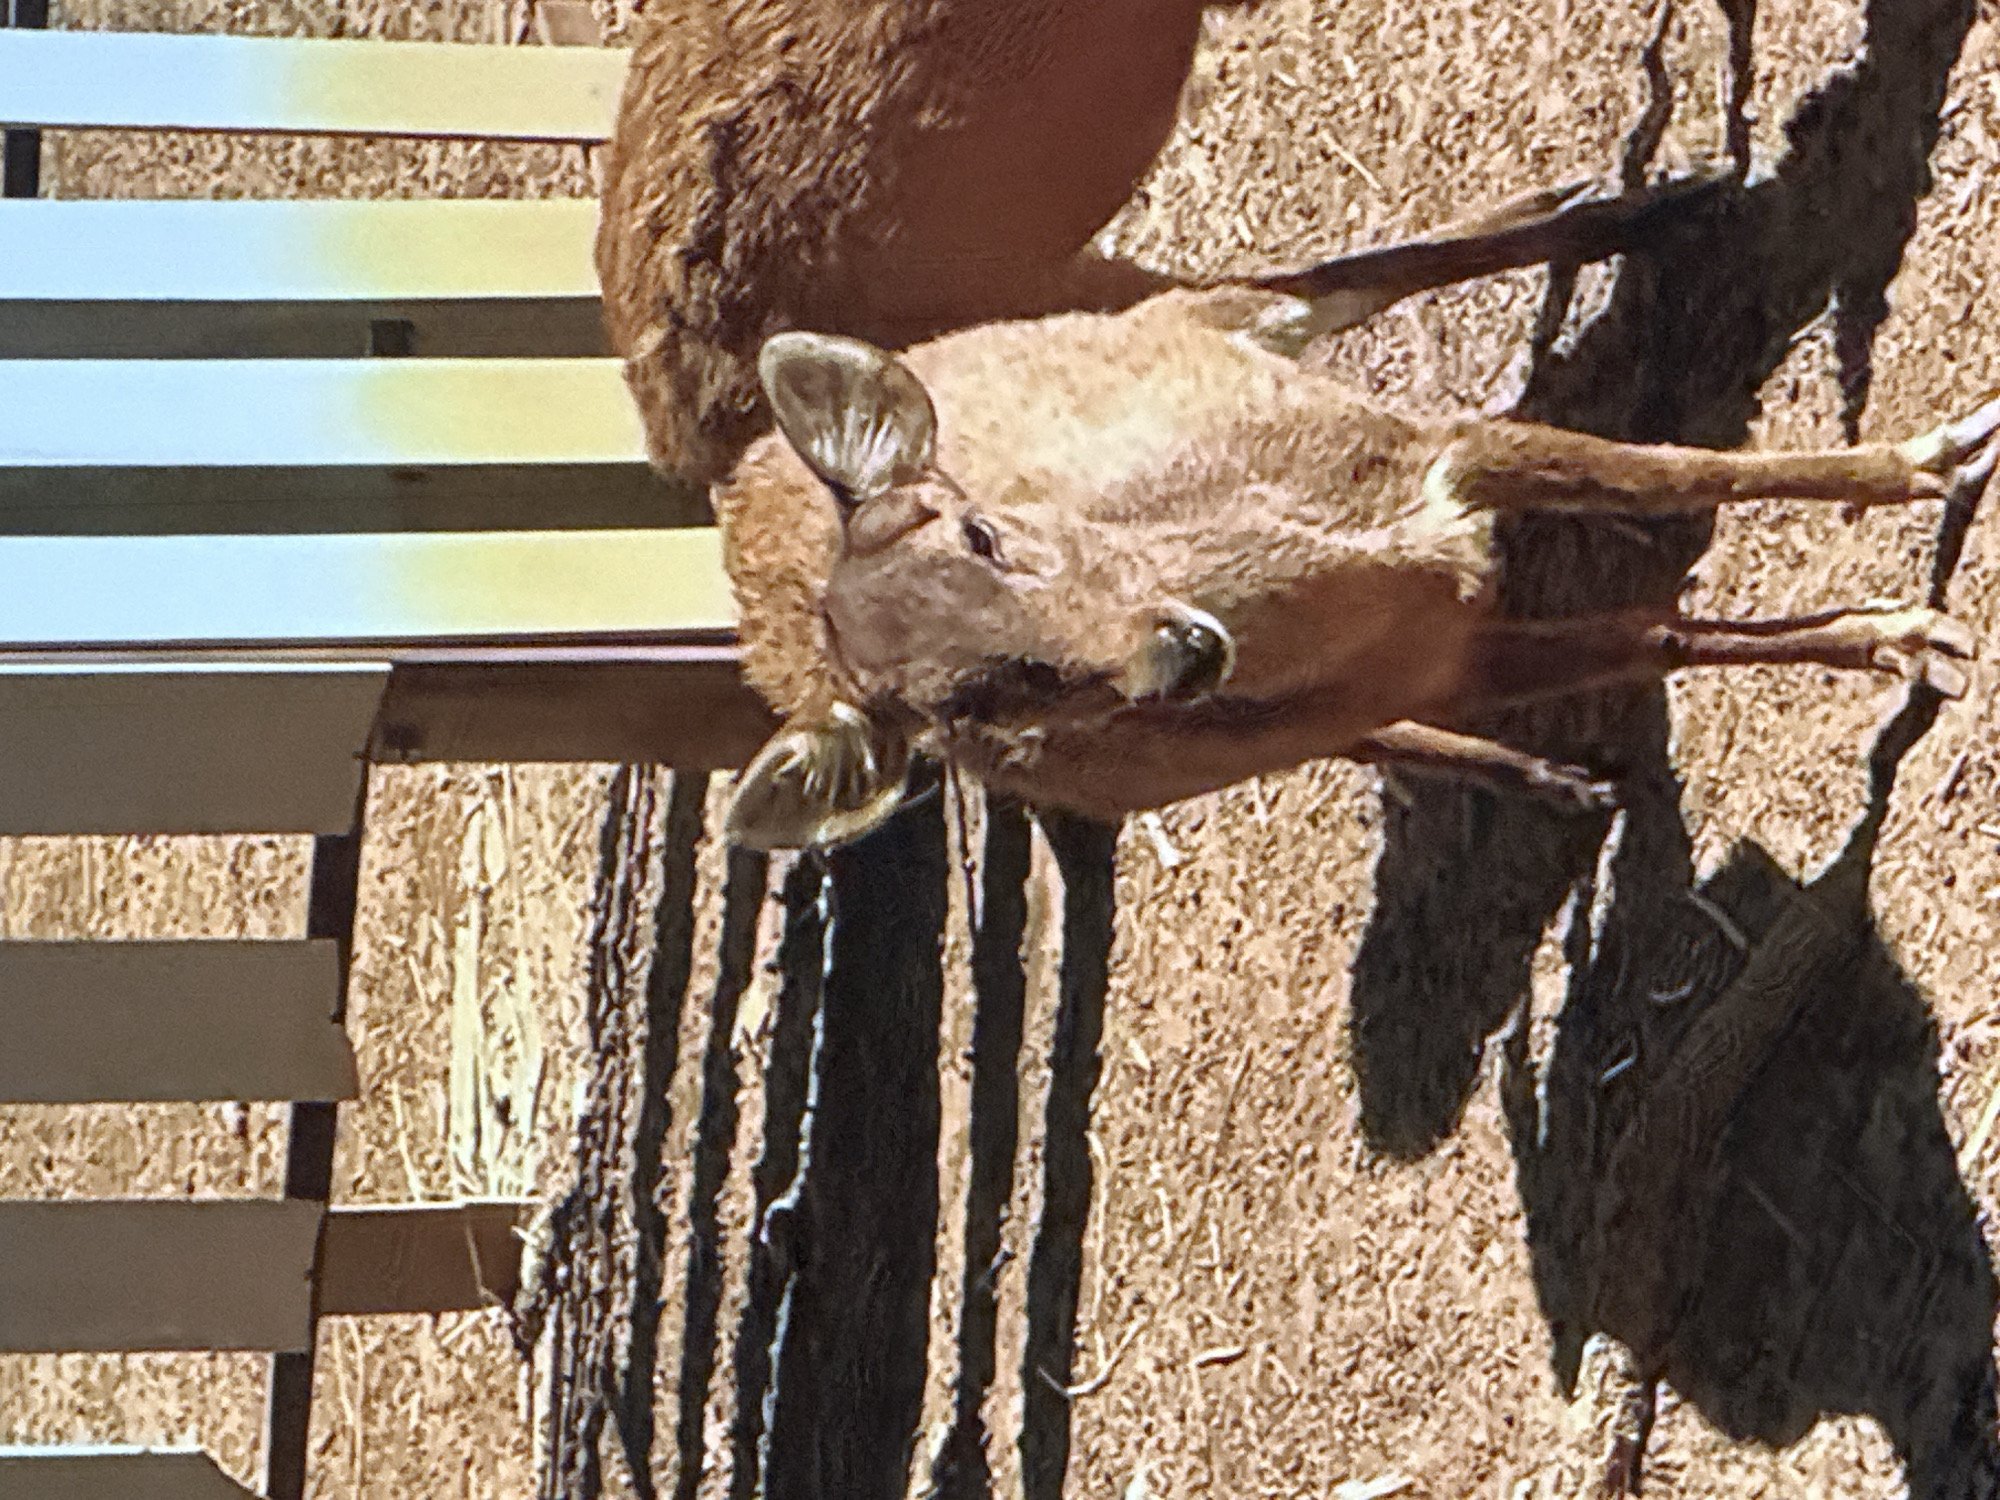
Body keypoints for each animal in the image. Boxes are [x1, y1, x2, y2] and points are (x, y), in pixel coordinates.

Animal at [711, 287, 1999, 850]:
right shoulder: (1432, 664)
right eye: (975, 706)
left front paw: (1931, 464)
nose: (1175, 654)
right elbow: (1654, 637)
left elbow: (1677, 481)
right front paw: (1908, 635)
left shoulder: (1439, 452)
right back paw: (1546, 782)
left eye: (984, 531)